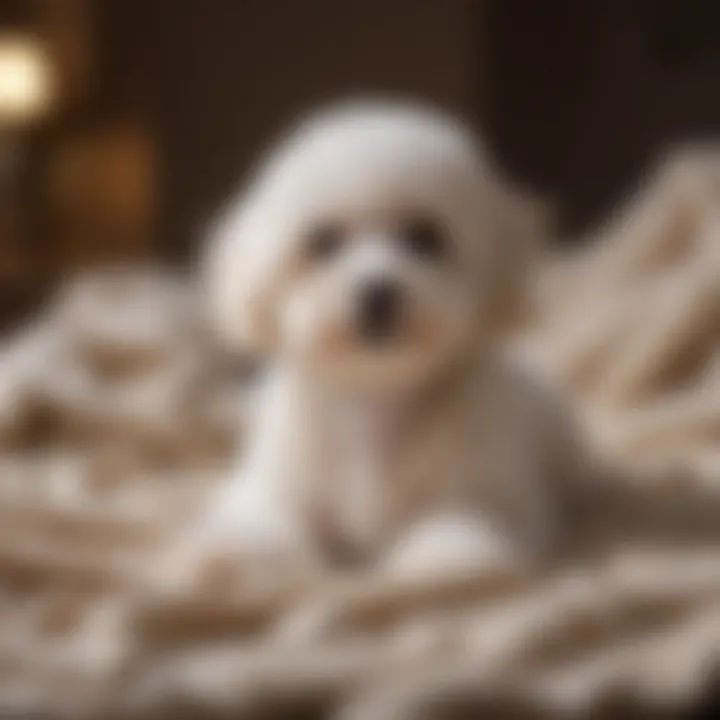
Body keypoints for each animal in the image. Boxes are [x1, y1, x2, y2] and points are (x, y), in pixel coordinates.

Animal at [181, 101, 592, 584]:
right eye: (323, 241)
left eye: (424, 236)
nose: (377, 293)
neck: (374, 401)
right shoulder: (278, 483)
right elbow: (265, 523)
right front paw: (227, 559)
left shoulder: (491, 492)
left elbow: (467, 526)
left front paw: (441, 560)